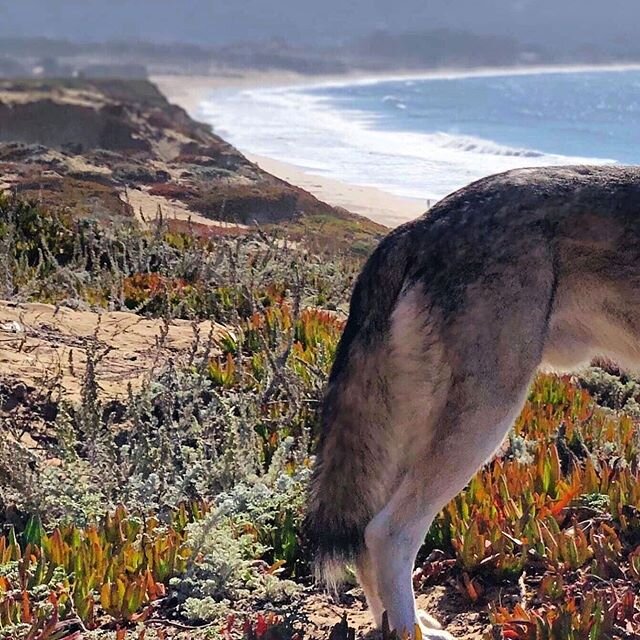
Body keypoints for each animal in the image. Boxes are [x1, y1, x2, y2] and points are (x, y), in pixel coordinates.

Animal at [304, 166, 640, 640]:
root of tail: (418, 224)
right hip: (485, 419)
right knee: (387, 533)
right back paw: (412, 630)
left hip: (415, 434)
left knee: (369, 538)